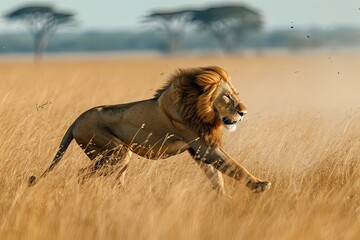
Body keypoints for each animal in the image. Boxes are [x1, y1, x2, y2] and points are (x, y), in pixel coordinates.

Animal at [28, 65, 270, 193]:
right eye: (227, 96)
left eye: (236, 94)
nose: (243, 112)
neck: (199, 107)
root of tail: (75, 120)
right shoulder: (203, 146)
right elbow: (233, 165)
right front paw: (259, 185)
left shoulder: (198, 151)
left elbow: (217, 176)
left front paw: (223, 198)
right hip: (114, 153)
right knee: (81, 174)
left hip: (114, 157)